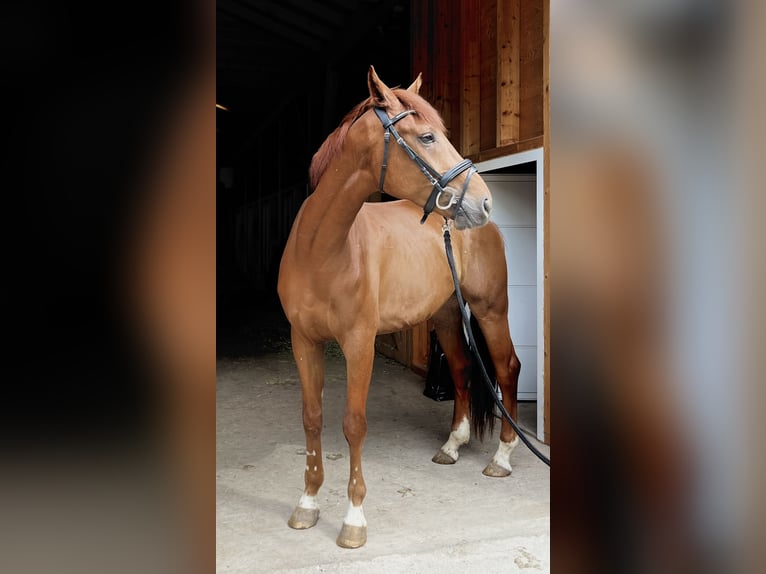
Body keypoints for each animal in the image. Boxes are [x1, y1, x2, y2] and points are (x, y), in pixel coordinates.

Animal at [278, 67, 520, 548]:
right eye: (426, 136)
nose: (482, 202)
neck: (321, 251)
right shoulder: (304, 342)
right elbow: (312, 419)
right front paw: (307, 504)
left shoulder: (359, 344)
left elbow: (353, 423)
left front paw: (353, 519)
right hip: (447, 316)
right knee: (462, 370)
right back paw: (451, 446)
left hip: (490, 310)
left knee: (506, 368)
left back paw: (502, 458)